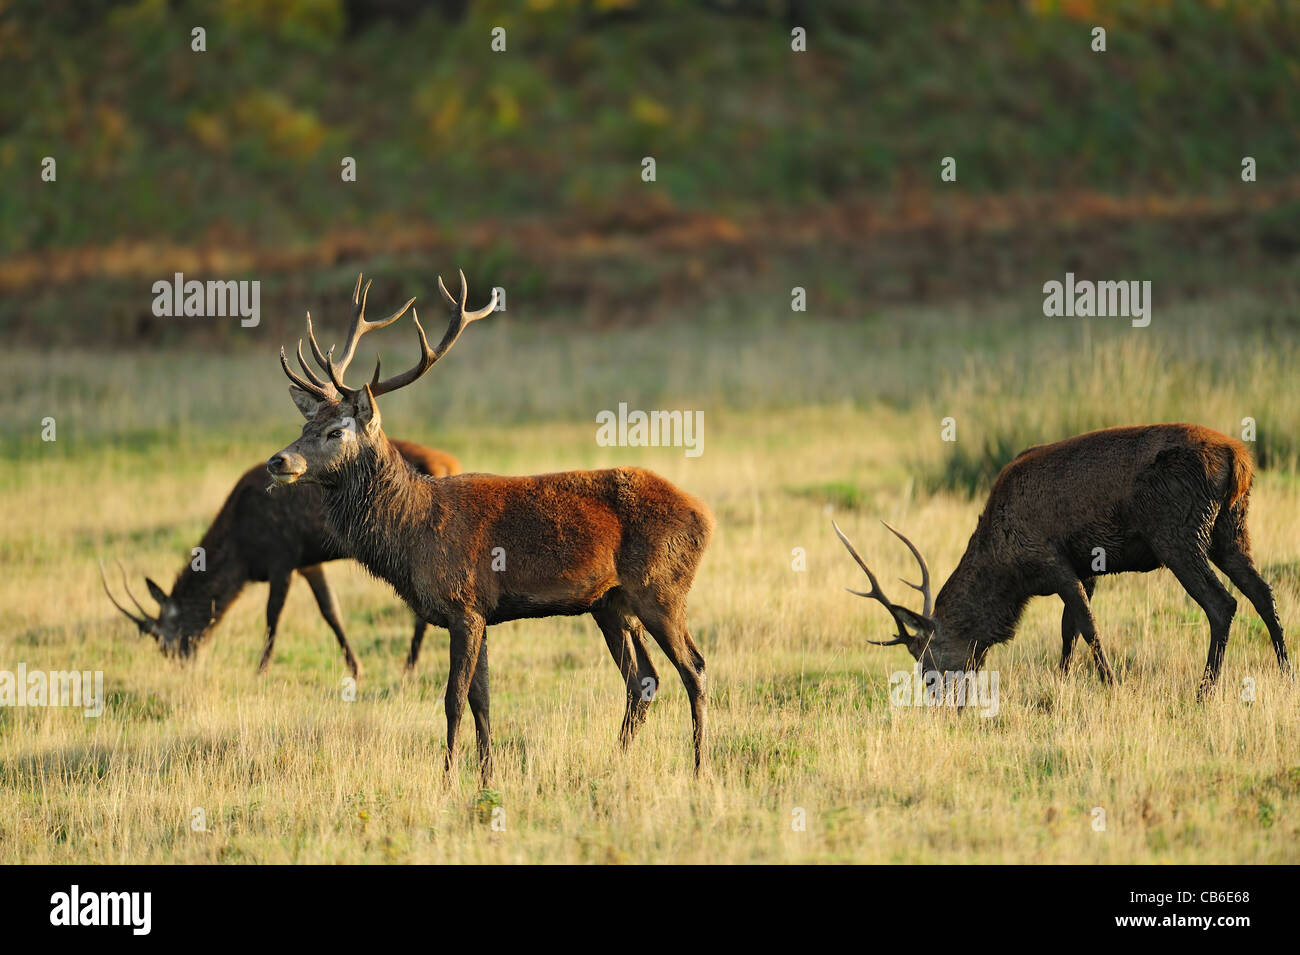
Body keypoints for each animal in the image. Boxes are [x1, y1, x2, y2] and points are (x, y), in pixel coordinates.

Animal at [101, 436, 460, 675]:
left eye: (164, 638)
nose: (181, 664)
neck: (243, 552)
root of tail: (451, 463)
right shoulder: (308, 562)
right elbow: (331, 611)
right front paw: (355, 667)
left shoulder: (282, 557)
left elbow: (273, 614)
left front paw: (260, 669)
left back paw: (410, 663)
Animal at [267, 272, 717, 779]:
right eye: (304, 427)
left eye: (335, 431)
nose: (277, 461)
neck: (411, 534)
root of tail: (705, 517)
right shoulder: (482, 609)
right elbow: (483, 700)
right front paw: (486, 775)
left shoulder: (463, 605)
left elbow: (453, 699)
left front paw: (447, 778)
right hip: (611, 603)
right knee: (644, 679)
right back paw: (614, 762)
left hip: (661, 587)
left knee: (694, 668)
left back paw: (699, 766)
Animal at [832, 426, 1289, 701]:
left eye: (926, 662)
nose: (940, 705)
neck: (1009, 569)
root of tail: (1239, 459)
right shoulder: (1086, 568)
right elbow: (1068, 629)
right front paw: (1064, 680)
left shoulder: (1052, 561)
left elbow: (1086, 626)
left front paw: (1111, 685)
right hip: (1230, 530)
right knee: (1262, 592)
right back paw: (1287, 673)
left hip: (1177, 532)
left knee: (1222, 603)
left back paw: (1203, 692)